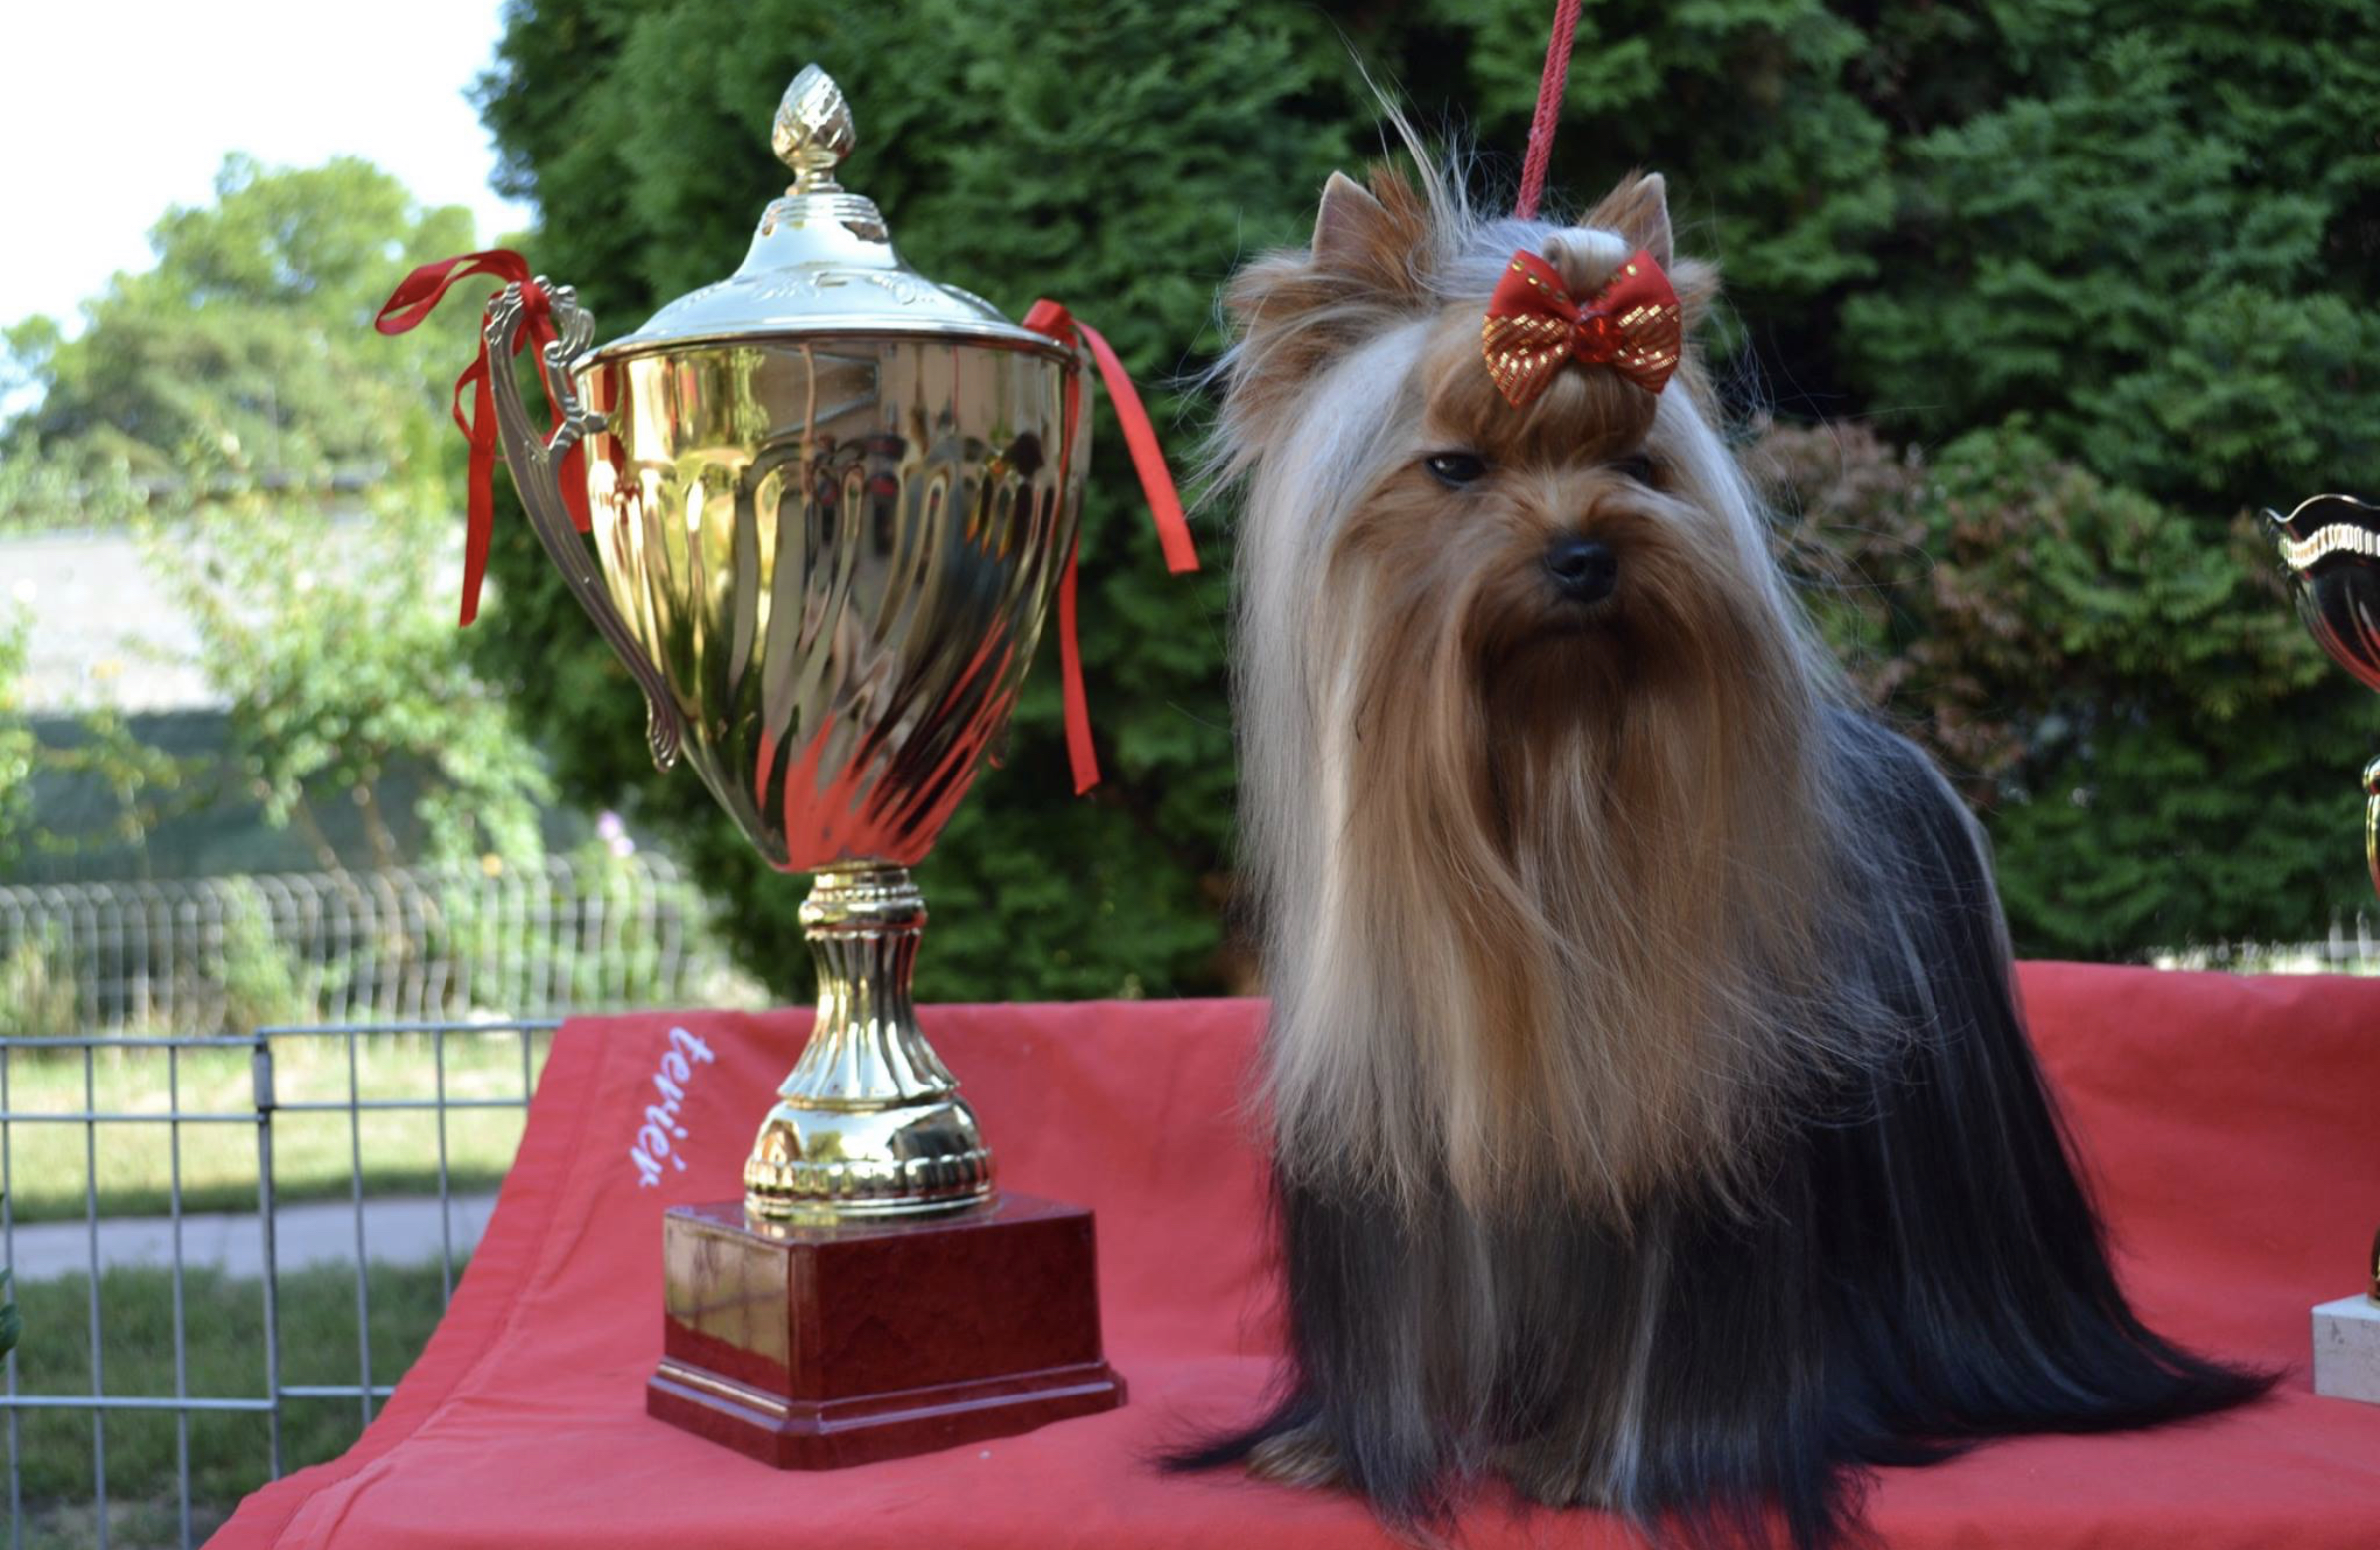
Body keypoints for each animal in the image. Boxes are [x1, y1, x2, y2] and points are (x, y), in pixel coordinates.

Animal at [1175, 156, 2269, 1549]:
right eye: (1454, 467)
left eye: (1637, 461)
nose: (1585, 551)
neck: (1550, 774)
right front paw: (1330, 1450)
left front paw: (1597, 1466)